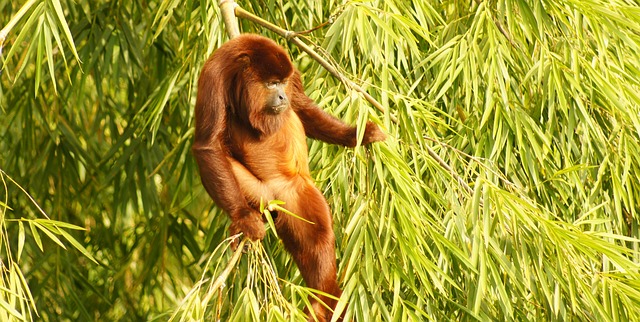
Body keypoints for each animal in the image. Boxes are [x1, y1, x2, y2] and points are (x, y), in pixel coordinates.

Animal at [191, 34, 384, 320]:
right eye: (272, 83)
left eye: (282, 83)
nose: (281, 95)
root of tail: (275, 200)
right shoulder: (214, 77)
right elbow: (209, 145)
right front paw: (242, 218)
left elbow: (301, 107)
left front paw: (356, 135)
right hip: (257, 192)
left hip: (298, 194)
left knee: (317, 240)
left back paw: (322, 302)